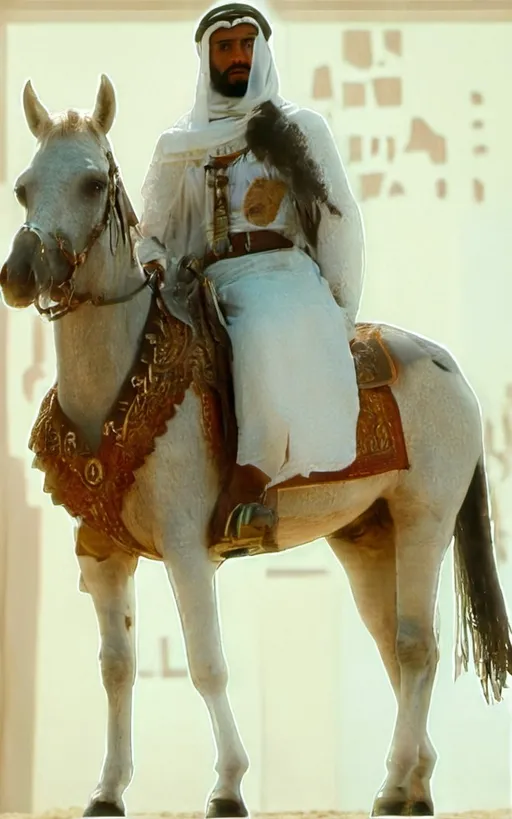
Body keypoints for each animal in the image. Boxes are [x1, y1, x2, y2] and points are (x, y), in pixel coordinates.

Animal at [1, 73, 512, 816]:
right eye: (23, 186)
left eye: (94, 183)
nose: (20, 273)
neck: (122, 380)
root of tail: (451, 367)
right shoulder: (102, 555)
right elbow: (117, 667)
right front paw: (108, 788)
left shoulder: (187, 550)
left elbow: (206, 663)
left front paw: (228, 783)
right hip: (367, 536)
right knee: (393, 646)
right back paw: (415, 779)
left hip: (426, 519)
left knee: (417, 647)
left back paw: (393, 783)